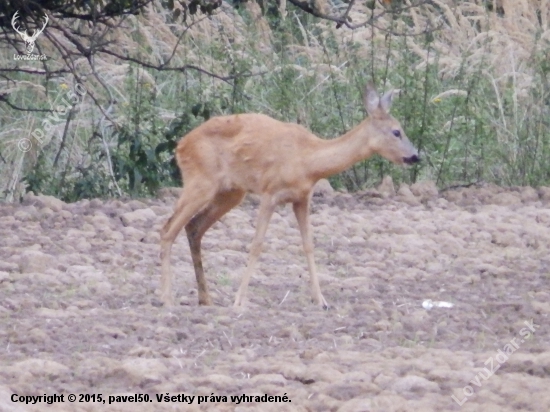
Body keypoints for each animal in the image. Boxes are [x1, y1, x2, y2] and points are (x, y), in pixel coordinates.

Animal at [162, 83, 420, 308]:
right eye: (397, 131)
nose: (416, 156)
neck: (308, 160)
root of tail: (180, 146)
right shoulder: (270, 192)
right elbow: (256, 244)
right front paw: (239, 301)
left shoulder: (302, 198)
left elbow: (308, 245)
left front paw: (321, 301)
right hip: (200, 181)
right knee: (168, 229)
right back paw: (168, 299)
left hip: (231, 192)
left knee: (193, 227)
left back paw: (205, 299)